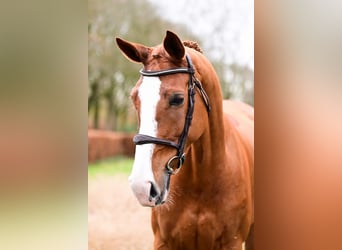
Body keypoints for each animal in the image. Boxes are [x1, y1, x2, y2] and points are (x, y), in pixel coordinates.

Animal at [116, 30, 252, 249]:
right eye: (134, 98)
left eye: (177, 99)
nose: (141, 186)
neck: (201, 181)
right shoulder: (163, 241)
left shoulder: (232, 243)